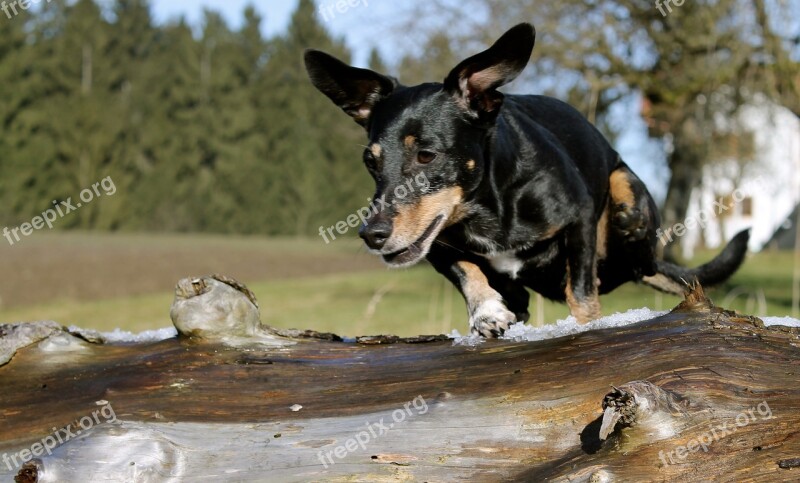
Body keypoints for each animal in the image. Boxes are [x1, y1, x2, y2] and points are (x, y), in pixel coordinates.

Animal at [304, 22, 752, 338]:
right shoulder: (436, 246)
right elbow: (466, 270)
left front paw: (586, 326)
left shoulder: (580, 217)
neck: (488, 209)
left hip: (630, 208)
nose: (371, 234)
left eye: (426, 155)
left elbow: (582, 293)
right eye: (370, 161)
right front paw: (486, 313)